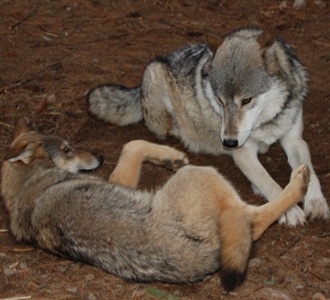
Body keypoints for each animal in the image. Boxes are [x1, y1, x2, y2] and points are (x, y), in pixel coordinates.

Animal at [0, 119, 310, 290]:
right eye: (67, 149)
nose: (100, 157)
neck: (25, 186)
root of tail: (205, 260)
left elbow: (133, 144)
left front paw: (169, 157)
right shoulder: (120, 180)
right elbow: (132, 145)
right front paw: (171, 153)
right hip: (202, 174)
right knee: (253, 220)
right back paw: (298, 183)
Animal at [88, 27, 330, 225]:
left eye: (246, 100)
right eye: (220, 100)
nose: (228, 143)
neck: (267, 121)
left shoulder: (295, 140)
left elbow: (310, 171)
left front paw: (317, 203)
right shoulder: (243, 152)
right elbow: (267, 181)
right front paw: (290, 210)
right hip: (157, 81)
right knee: (171, 129)